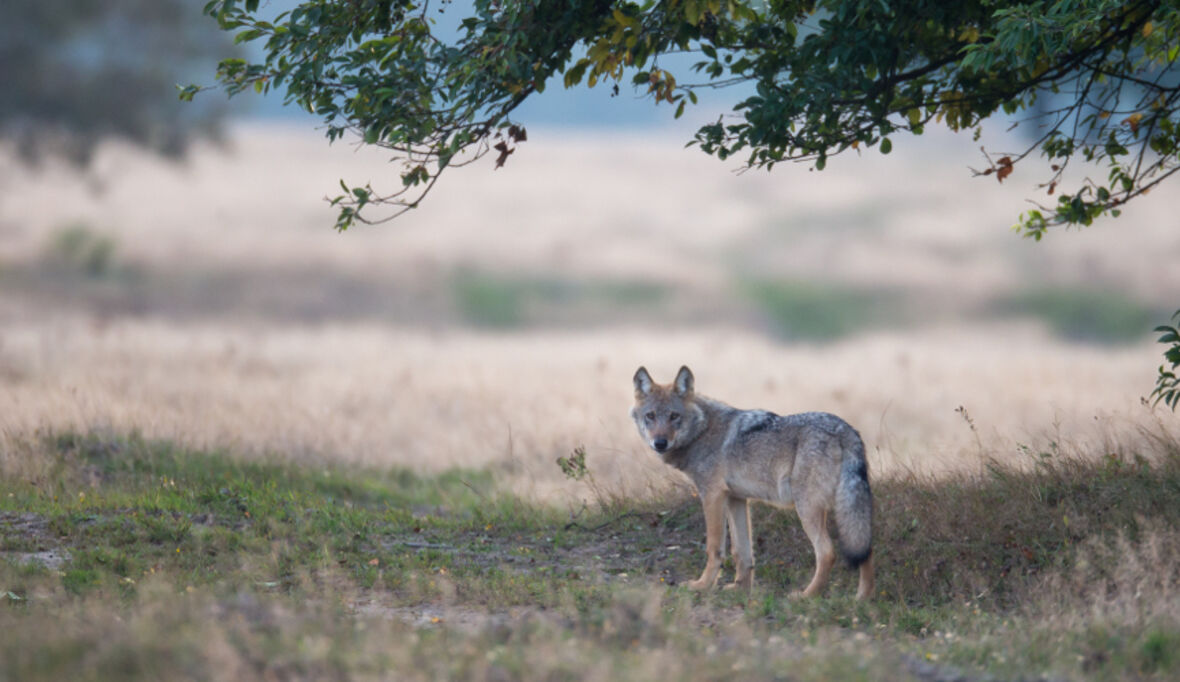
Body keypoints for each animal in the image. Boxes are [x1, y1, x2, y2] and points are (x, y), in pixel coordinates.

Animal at [632, 363, 873, 597]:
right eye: (650, 416)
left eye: (674, 416)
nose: (660, 443)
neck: (702, 431)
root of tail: (845, 429)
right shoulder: (736, 499)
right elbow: (742, 551)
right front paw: (740, 589)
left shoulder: (712, 496)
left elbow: (714, 548)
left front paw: (702, 585)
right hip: (850, 509)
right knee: (865, 547)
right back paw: (862, 599)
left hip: (807, 508)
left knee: (827, 552)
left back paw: (807, 595)